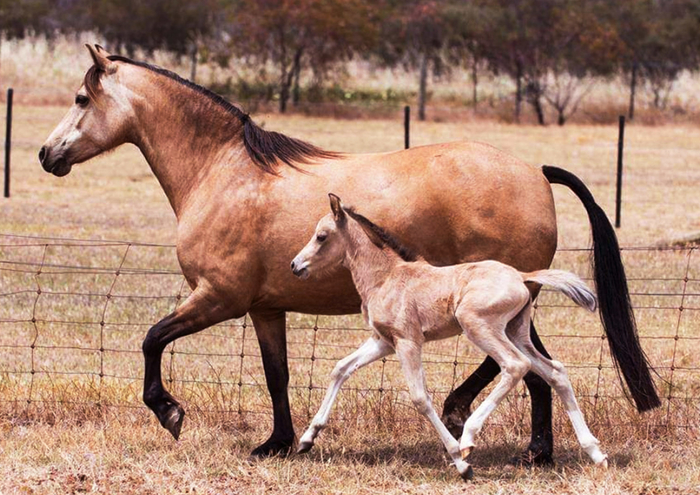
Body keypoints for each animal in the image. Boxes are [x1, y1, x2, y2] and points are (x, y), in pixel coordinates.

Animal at [291, 194, 608, 479]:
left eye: (321, 236)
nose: (295, 265)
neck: (386, 277)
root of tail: (521, 275)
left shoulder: (408, 341)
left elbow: (420, 398)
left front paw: (460, 461)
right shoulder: (383, 342)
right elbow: (340, 368)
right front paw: (307, 439)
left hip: (478, 325)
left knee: (515, 365)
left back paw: (467, 439)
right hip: (515, 332)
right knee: (556, 372)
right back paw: (595, 452)